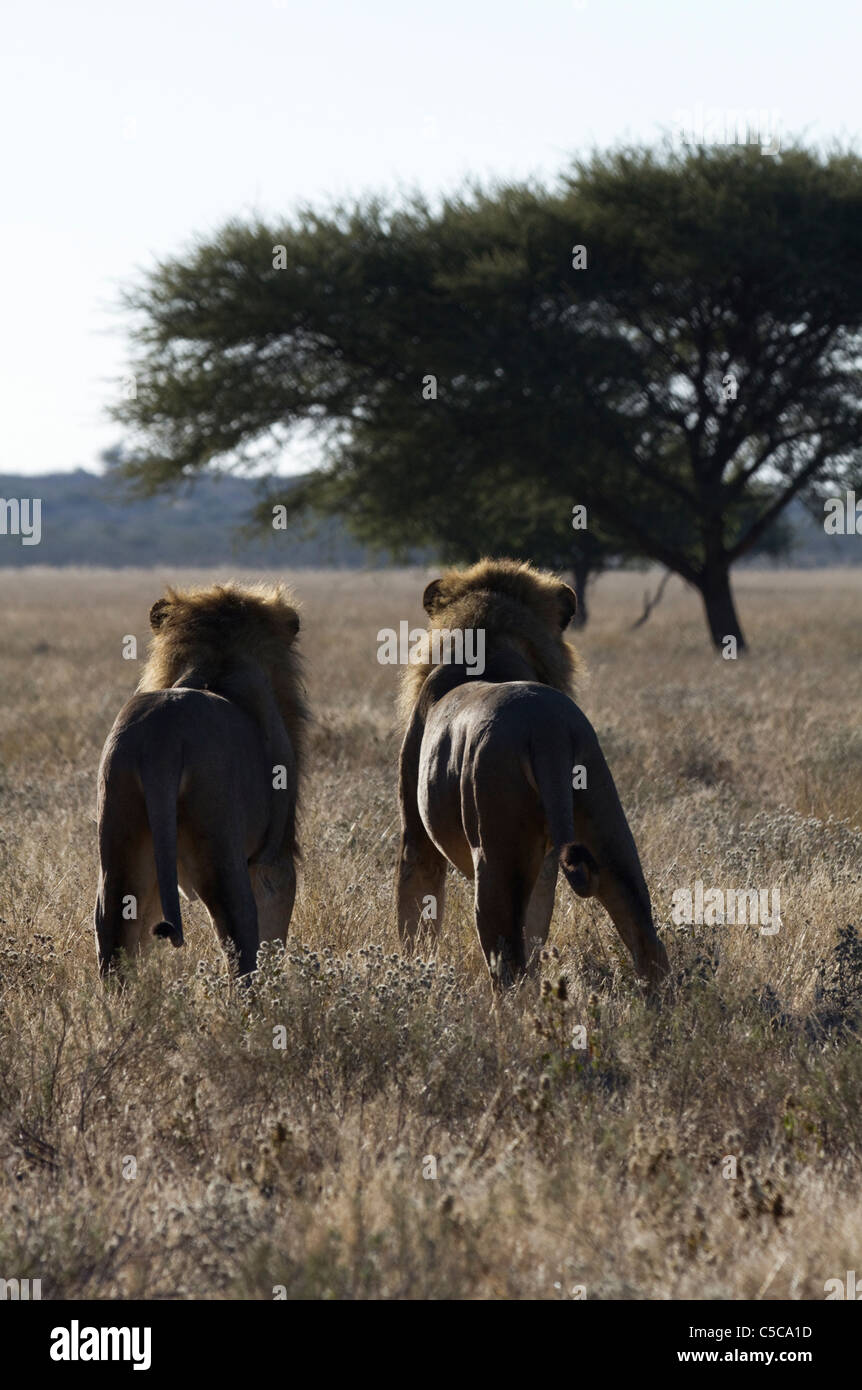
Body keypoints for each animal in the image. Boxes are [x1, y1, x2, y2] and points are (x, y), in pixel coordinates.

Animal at [93, 583, 308, 978]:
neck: (216, 662)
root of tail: (164, 739)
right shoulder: (275, 854)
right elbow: (274, 927)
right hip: (221, 848)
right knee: (240, 941)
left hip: (119, 836)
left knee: (114, 934)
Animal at [395, 558, 669, 989]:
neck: (490, 645)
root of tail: (546, 729)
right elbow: (538, 925)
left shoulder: (416, 835)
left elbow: (416, 915)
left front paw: (411, 970)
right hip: (606, 827)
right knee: (645, 937)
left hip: (495, 850)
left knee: (507, 962)